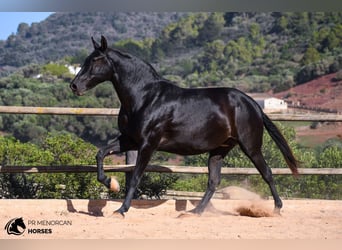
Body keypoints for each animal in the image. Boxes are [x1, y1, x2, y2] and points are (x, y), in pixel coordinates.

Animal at [70, 36, 300, 218]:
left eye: (95, 61)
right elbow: (100, 154)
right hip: (219, 150)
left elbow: (135, 177)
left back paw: (276, 210)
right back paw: (194, 212)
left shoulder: (147, 144)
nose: (74, 85)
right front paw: (112, 183)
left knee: (267, 173)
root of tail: (252, 103)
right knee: (213, 181)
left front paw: (121, 210)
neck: (145, 97)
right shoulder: (130, 140)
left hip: (250, 146)